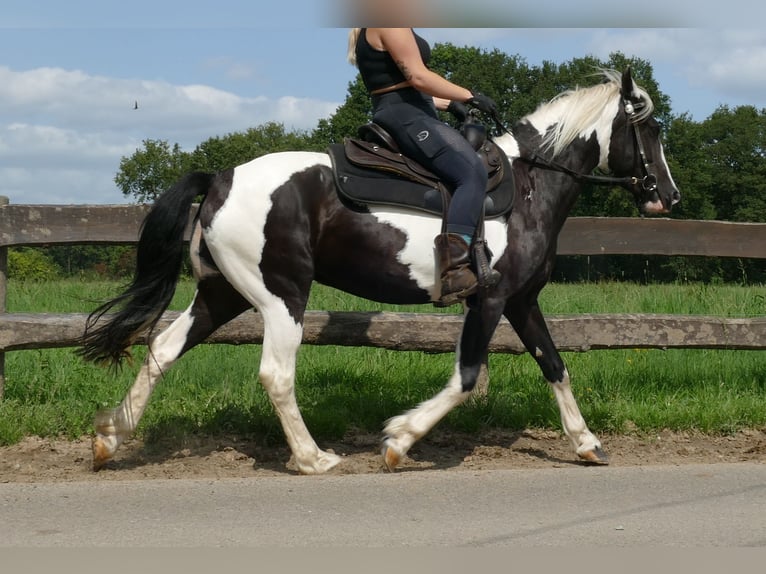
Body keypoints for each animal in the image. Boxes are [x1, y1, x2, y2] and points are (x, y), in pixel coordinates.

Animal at [82, 67, 684, 474]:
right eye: (651, 129)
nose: (670, 197)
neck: (530, 189)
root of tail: (221, 178)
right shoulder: (490, 301)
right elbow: (467, 378)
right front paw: (399, 440)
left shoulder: (521, 301)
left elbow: (555, 366)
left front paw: (586, 443)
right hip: (281, 296)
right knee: (276, 374)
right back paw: (313, 458)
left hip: (222, 293)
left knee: (163, 349)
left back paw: (111, 437)